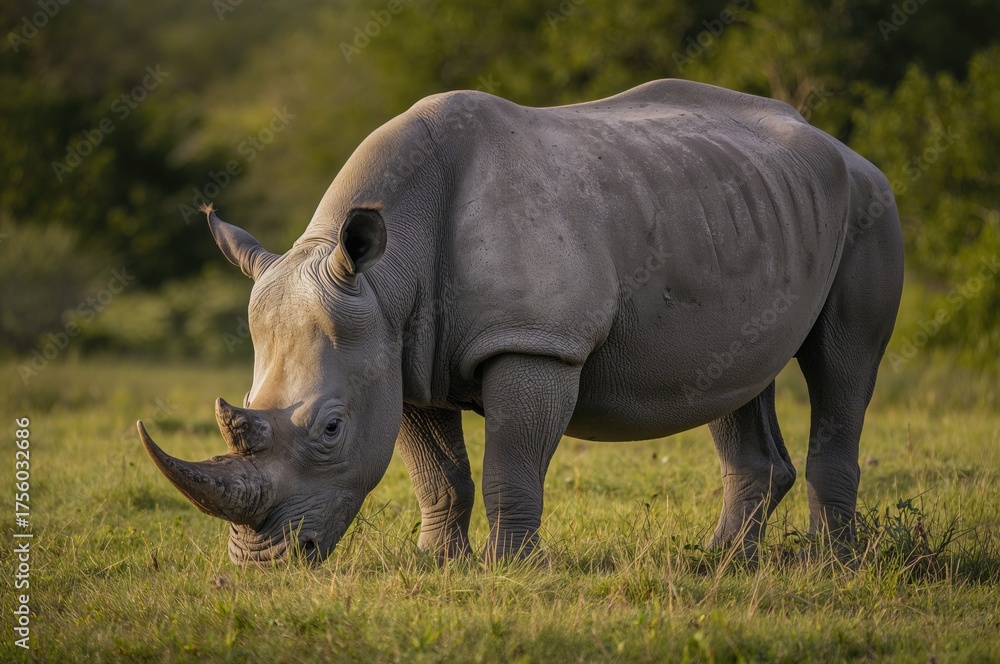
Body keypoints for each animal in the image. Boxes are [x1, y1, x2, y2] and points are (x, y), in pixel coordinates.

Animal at [138, 79, 903, 564]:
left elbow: (511, 459)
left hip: (870, 207)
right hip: (745, 209)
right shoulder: (395, 349)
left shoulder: (534, 344)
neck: (387, 275)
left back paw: (830, 566)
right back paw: (721, 563)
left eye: (330, 429)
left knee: (843, 365)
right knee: (733, 377)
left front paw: (510, 567)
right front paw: (438, 563)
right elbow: (437, 471)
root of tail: (840, 145)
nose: (263, 562)